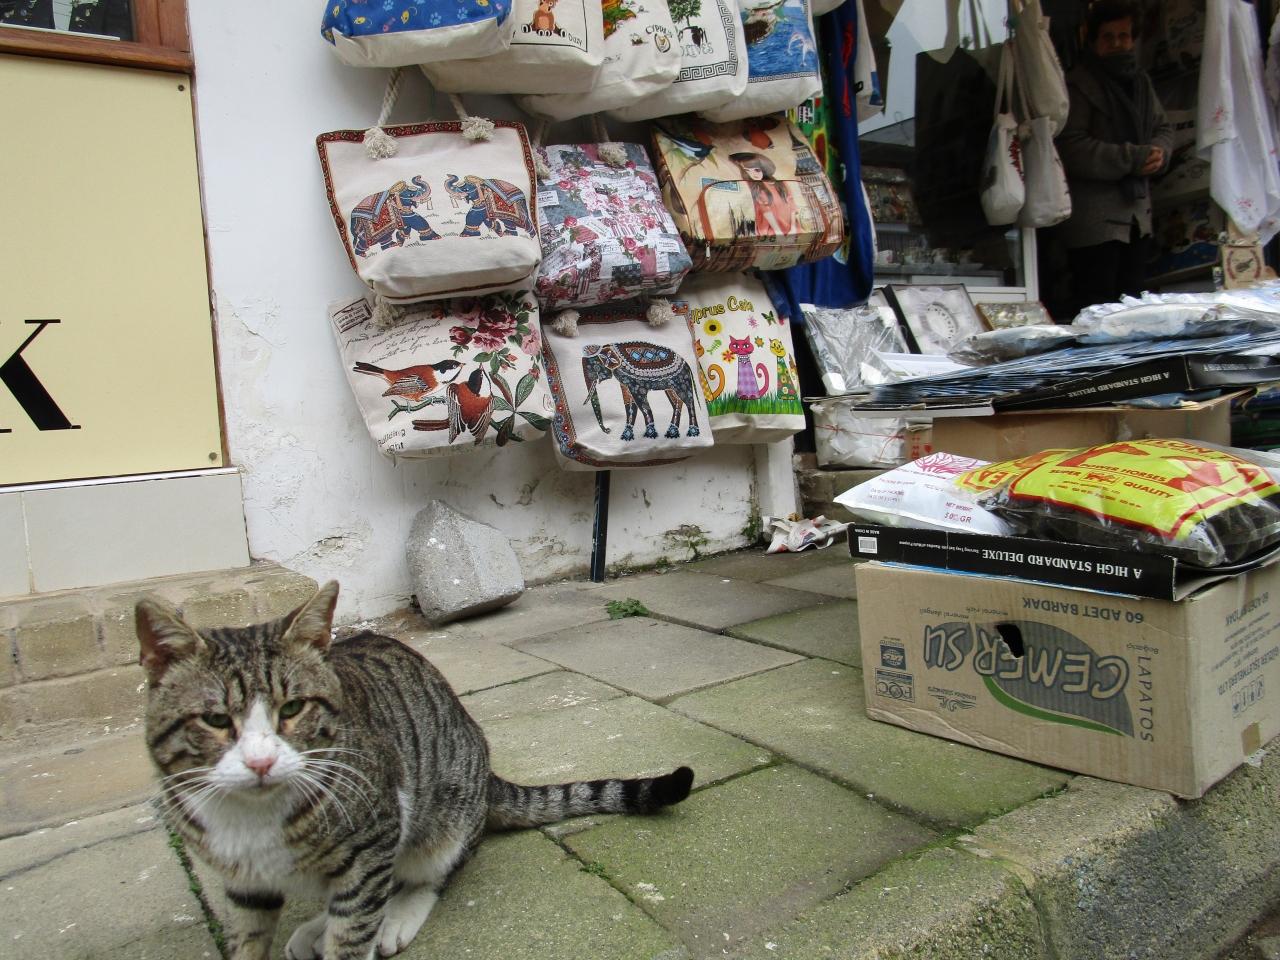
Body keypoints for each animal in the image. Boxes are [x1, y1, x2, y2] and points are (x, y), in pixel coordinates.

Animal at [137, 581, 693, 960]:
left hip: (441, 816)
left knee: (424, 872)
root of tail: (485, 767)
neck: (253, 818)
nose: (260, 761)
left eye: (292, 708)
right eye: (215, 720)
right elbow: (249, 937)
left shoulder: (378, 830)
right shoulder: (242, 879)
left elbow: (356, 926)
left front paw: (360, 929)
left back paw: (395, 914)